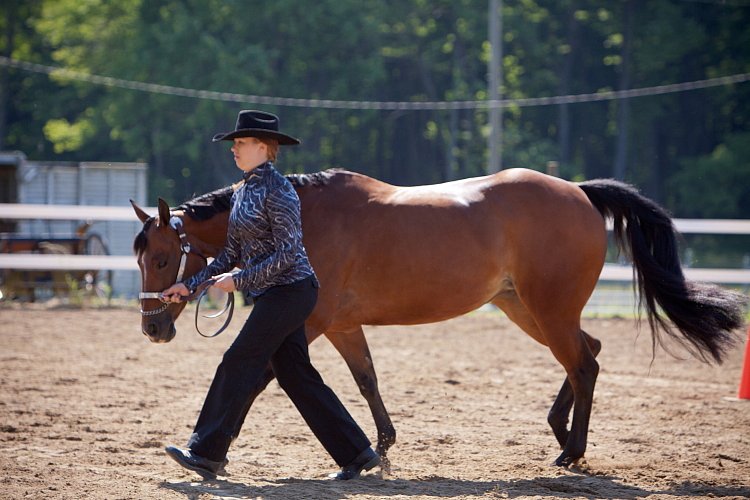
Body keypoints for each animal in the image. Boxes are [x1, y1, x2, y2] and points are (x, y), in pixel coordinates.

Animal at [132, 168, 748, 468]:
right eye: (139, 256)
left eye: (161, 257)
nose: (153, 329)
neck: (306, 218)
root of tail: (578, 192)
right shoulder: (341, 324)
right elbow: (366, 379)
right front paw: (379, 445)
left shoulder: (310, 319)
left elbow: (256, 374)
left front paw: (206, 450)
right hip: (525, 306)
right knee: (587, 354)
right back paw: (559, 429)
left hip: (548, 308)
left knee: (584, 365)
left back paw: (570, 451)